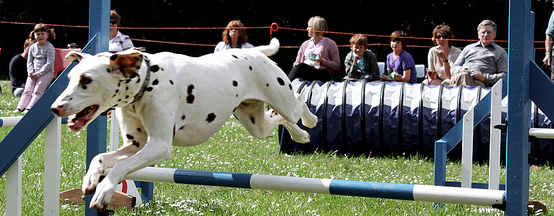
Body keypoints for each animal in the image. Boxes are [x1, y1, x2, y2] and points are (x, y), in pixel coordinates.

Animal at [49, 38, 316, 209]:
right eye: (70, 78)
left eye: (86, 80)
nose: (54, 108)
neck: (149, 79)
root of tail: (256, 53)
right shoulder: (135, 146)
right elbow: (100, 158)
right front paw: (91, 179)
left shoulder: (158, 146)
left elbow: (119, 168)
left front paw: (105, 191)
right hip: (255, 124)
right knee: (276, 119)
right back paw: (301, 135)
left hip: (283, 101)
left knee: (299, 103)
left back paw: (309, 121)